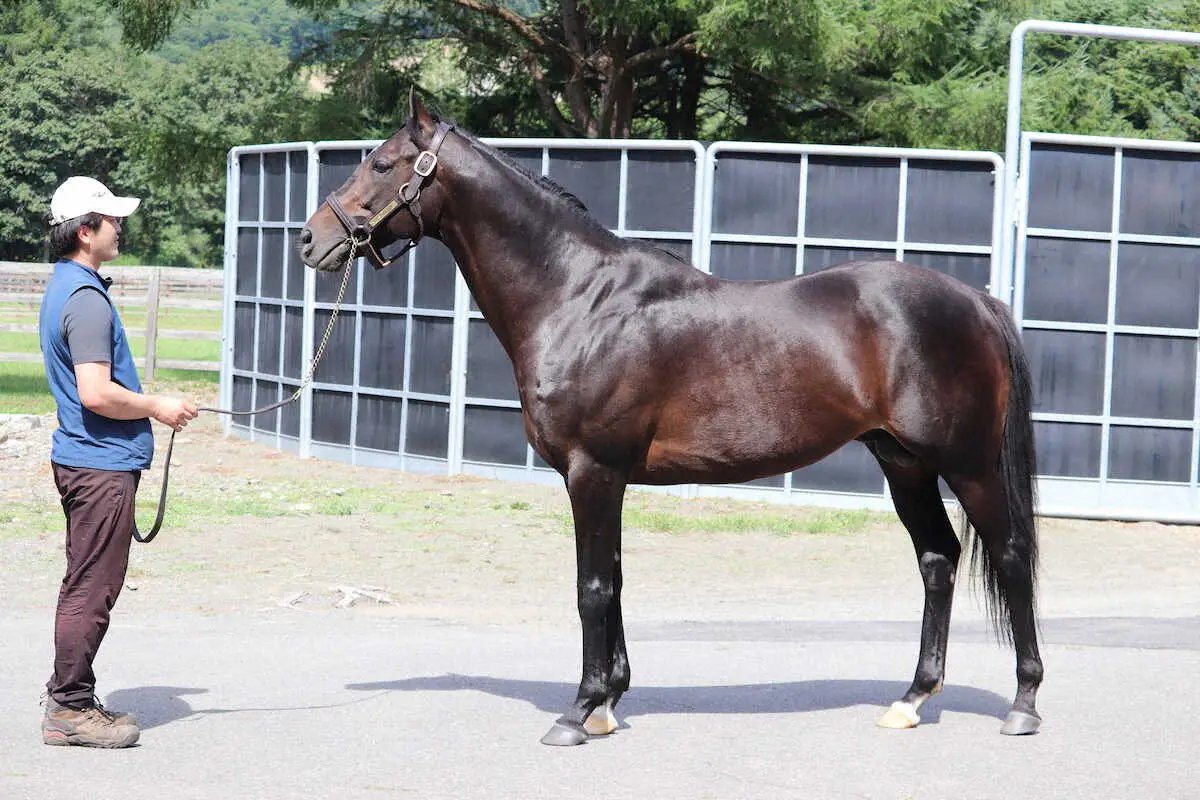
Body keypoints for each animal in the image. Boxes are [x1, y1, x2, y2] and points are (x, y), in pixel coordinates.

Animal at [298, 93, 1043, 745]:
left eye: (383, 164)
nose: (311, 239)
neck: (578, 299)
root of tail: (978, 301)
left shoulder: (592, 473)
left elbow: (592, 588)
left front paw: (577, 713)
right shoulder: (605, 479)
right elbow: (615, 582)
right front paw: (608, 703)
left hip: (967, 465)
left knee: (1010, 556)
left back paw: (1024, 703)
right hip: (903, 462)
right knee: (938, 560)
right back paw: (912, 699)